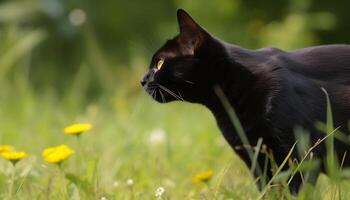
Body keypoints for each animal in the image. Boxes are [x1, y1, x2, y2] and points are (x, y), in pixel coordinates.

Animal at [141, 9, 350, 194]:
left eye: (159, 63)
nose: (142, 80)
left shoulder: (300, 156)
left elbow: (295, 191)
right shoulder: (257, 160)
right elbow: (270, 191)